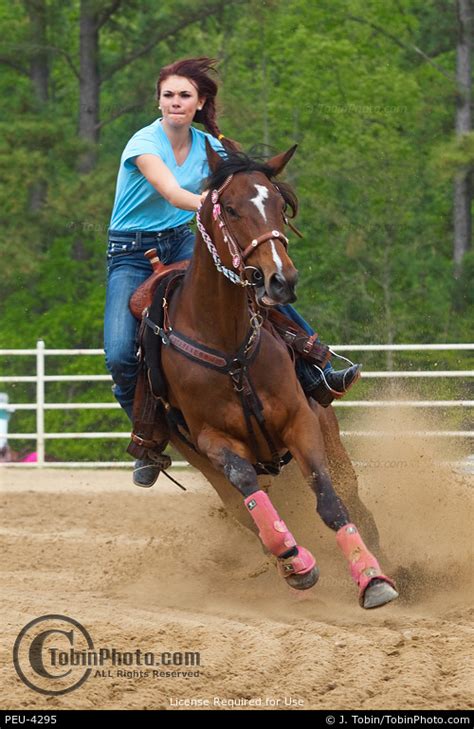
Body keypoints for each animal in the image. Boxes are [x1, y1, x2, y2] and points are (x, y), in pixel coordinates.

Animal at [157, 142, 398, 608]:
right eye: (231, 209)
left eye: (279, 206)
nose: (281, 279)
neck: (229, 346)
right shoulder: (213, 442)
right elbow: (248, 489)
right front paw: (295, 562)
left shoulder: (300, 421)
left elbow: (329, 500)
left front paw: (372, 578)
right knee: (246, 509)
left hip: (329, 431)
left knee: (352, 496)